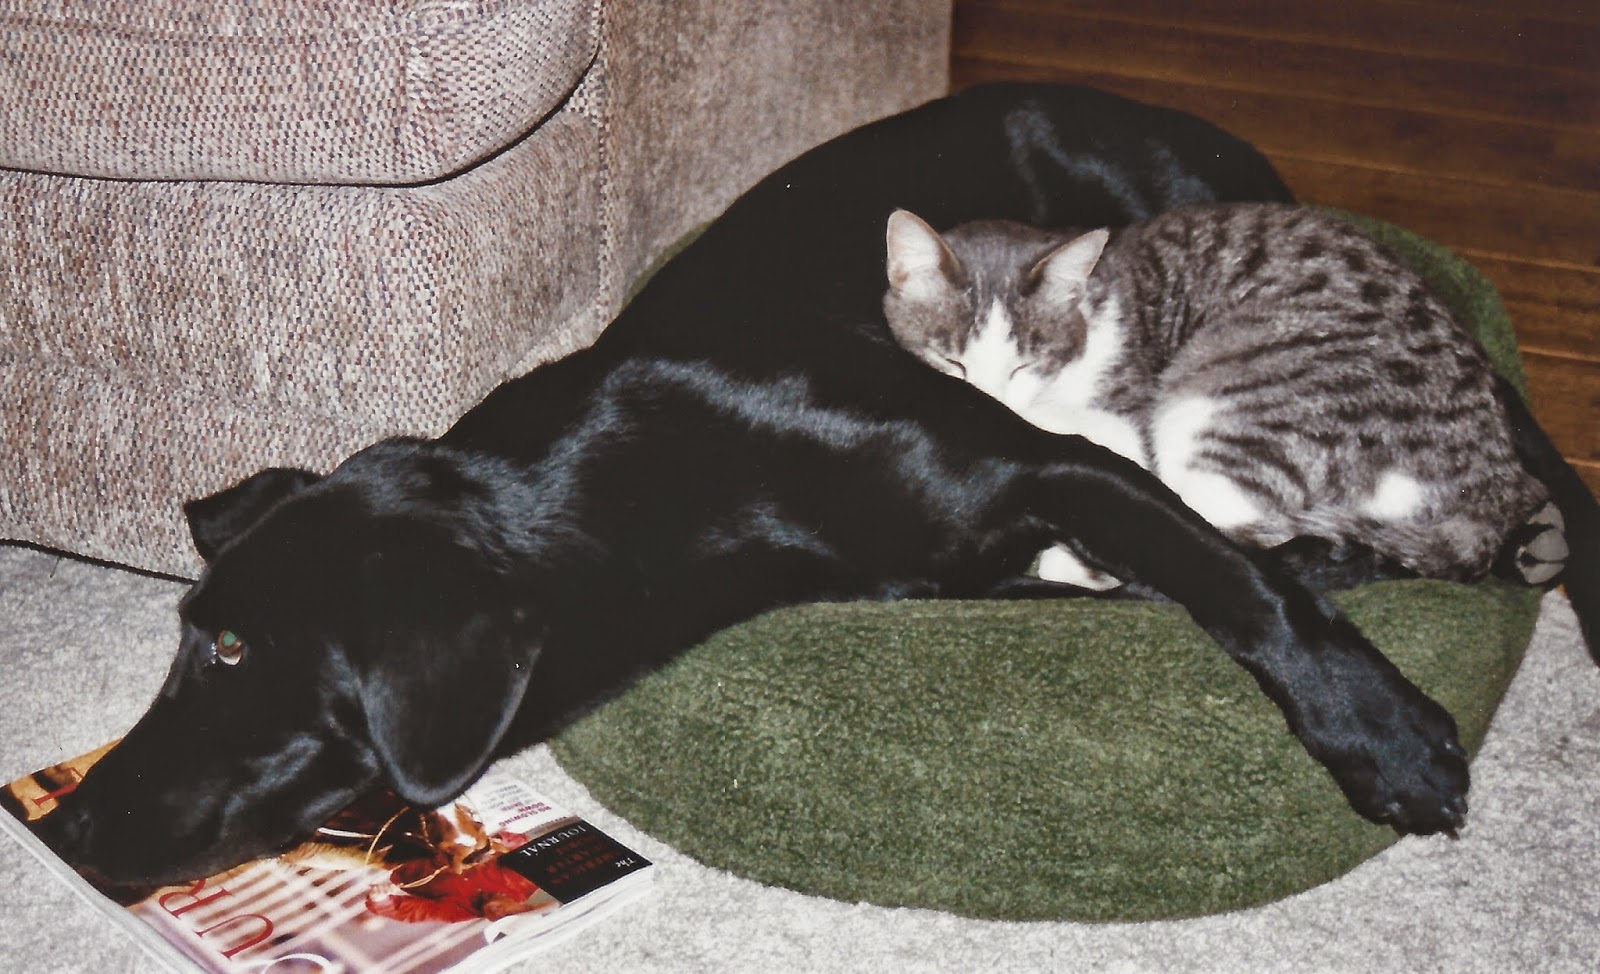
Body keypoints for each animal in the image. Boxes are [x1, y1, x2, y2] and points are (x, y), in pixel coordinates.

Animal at [882, 202, 1563, 590]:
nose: (991, 406)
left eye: (1026, 364)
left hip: (1226, 402)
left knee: (1214, 522)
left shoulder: (1126, 420)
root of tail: (1494, 485)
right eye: (952, 361)